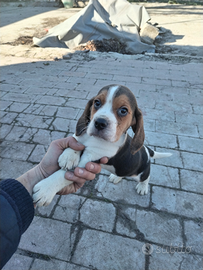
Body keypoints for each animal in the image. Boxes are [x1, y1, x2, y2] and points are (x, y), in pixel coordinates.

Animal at [33, 85, 171, 206]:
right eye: (97, 103)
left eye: (123, 110)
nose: (100, 122)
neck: (95, 139)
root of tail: (146, 150)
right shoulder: (81, 137)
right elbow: (75, 140)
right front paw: (69, 156)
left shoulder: (90, 160)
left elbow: (63, 176)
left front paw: (46, 189)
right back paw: (116, 177)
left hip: (141, 173)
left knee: (146, 177)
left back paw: (142, 187)